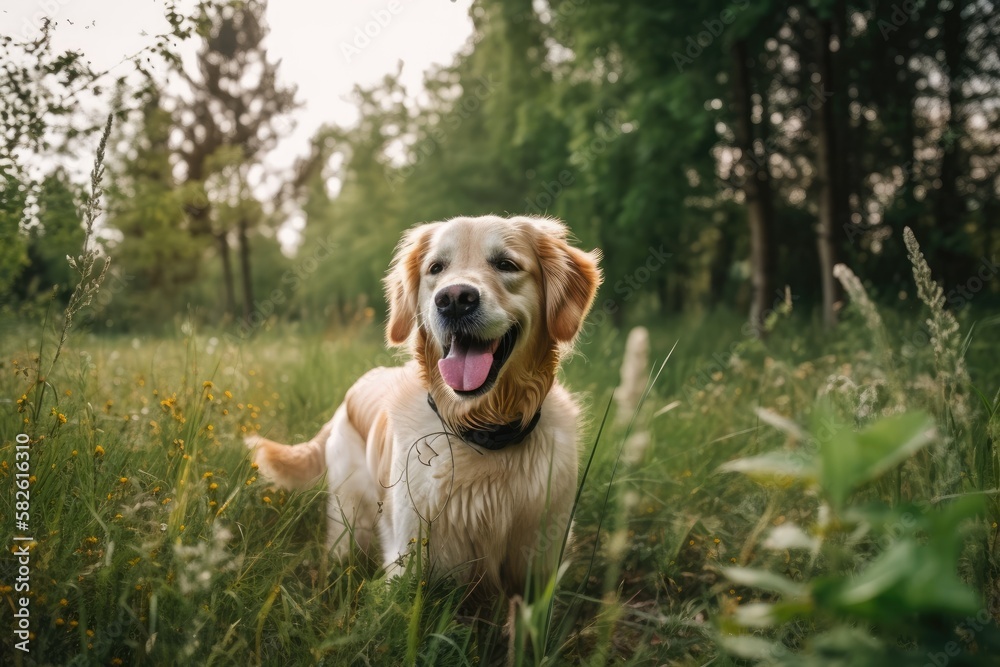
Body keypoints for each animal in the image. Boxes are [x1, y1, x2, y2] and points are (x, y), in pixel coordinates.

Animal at [248, 217, 600, 596]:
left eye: (506, 264)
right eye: (436, 268)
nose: (455, 299)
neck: (481, 431)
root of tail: (352, 391)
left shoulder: (540, 562)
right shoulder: (412, 559)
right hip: (350, 514)